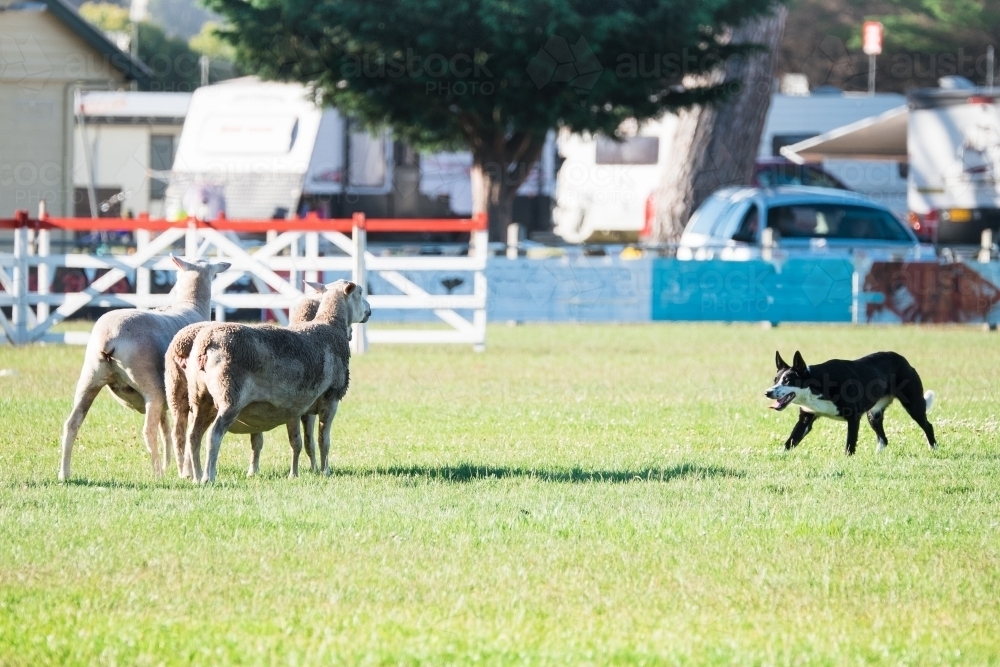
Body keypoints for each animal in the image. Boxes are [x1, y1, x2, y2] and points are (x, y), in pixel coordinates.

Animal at [60, 256, 230, 480]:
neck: (190, 305)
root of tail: (108, 337)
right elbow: (184, 432)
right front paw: (183, 470)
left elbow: (166, 430)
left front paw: (170, 465)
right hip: (149, 384)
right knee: (148, 432)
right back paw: (157, 473)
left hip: (90, 377)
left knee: (72, 424)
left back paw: (64, 473)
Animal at [166, 282, 326, 480]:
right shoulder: (303, 409)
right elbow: (306, 440)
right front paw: (313, 468)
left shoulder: (258, 406)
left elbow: (257, 440)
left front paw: (253, 470)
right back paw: (201, 474)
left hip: (178, 394)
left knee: (182, 434)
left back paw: (188, 473)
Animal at [185, 280, 372, 482]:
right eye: (360, 292)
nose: (369, 310)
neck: (331, 325)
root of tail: (206, 343)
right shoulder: (331, 398)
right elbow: (324, 440)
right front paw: (325, 471)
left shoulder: (299, 408)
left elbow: (302, 442)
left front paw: (297, 473)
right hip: (229, 395)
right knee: (214, 435)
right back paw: (208, 476)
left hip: (199, 398)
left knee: (193, 436)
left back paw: (197, 477)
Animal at [764, 352, 936, 456]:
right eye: (775, 380)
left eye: (787, 381)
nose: (767, 393)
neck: (818, 384)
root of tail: (904, 360)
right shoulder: (806, 418)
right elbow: (790, 441)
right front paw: (779, 456)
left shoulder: (853, 417)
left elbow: (849, 444)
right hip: (873, 415)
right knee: (883, 439)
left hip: (913, 405)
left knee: (928, 426)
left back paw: (934, 449)